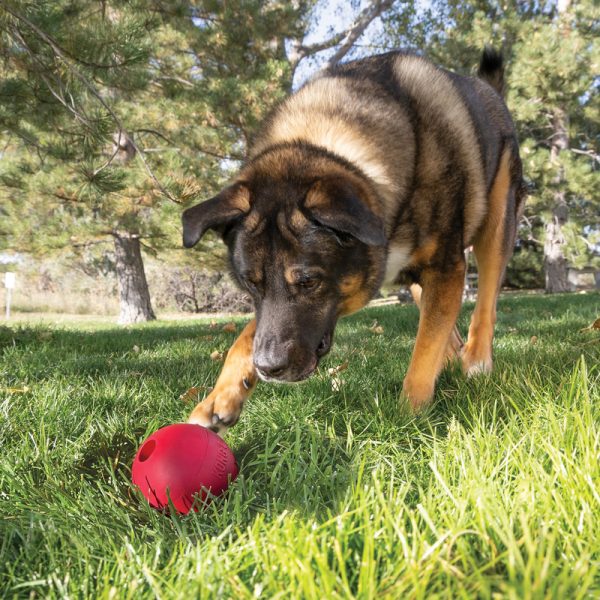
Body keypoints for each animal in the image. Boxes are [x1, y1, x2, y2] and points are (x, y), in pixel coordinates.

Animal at [182, 49, 524, 434]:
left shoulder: (447, 266)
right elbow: (245, 338)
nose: (268, 368)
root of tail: (486, 87)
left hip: (497, 218)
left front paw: (409, 416)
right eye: (250, 285)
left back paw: (476, 360)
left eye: (309, 282)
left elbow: (425, 349)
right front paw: (219, 399)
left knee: (485, 301)